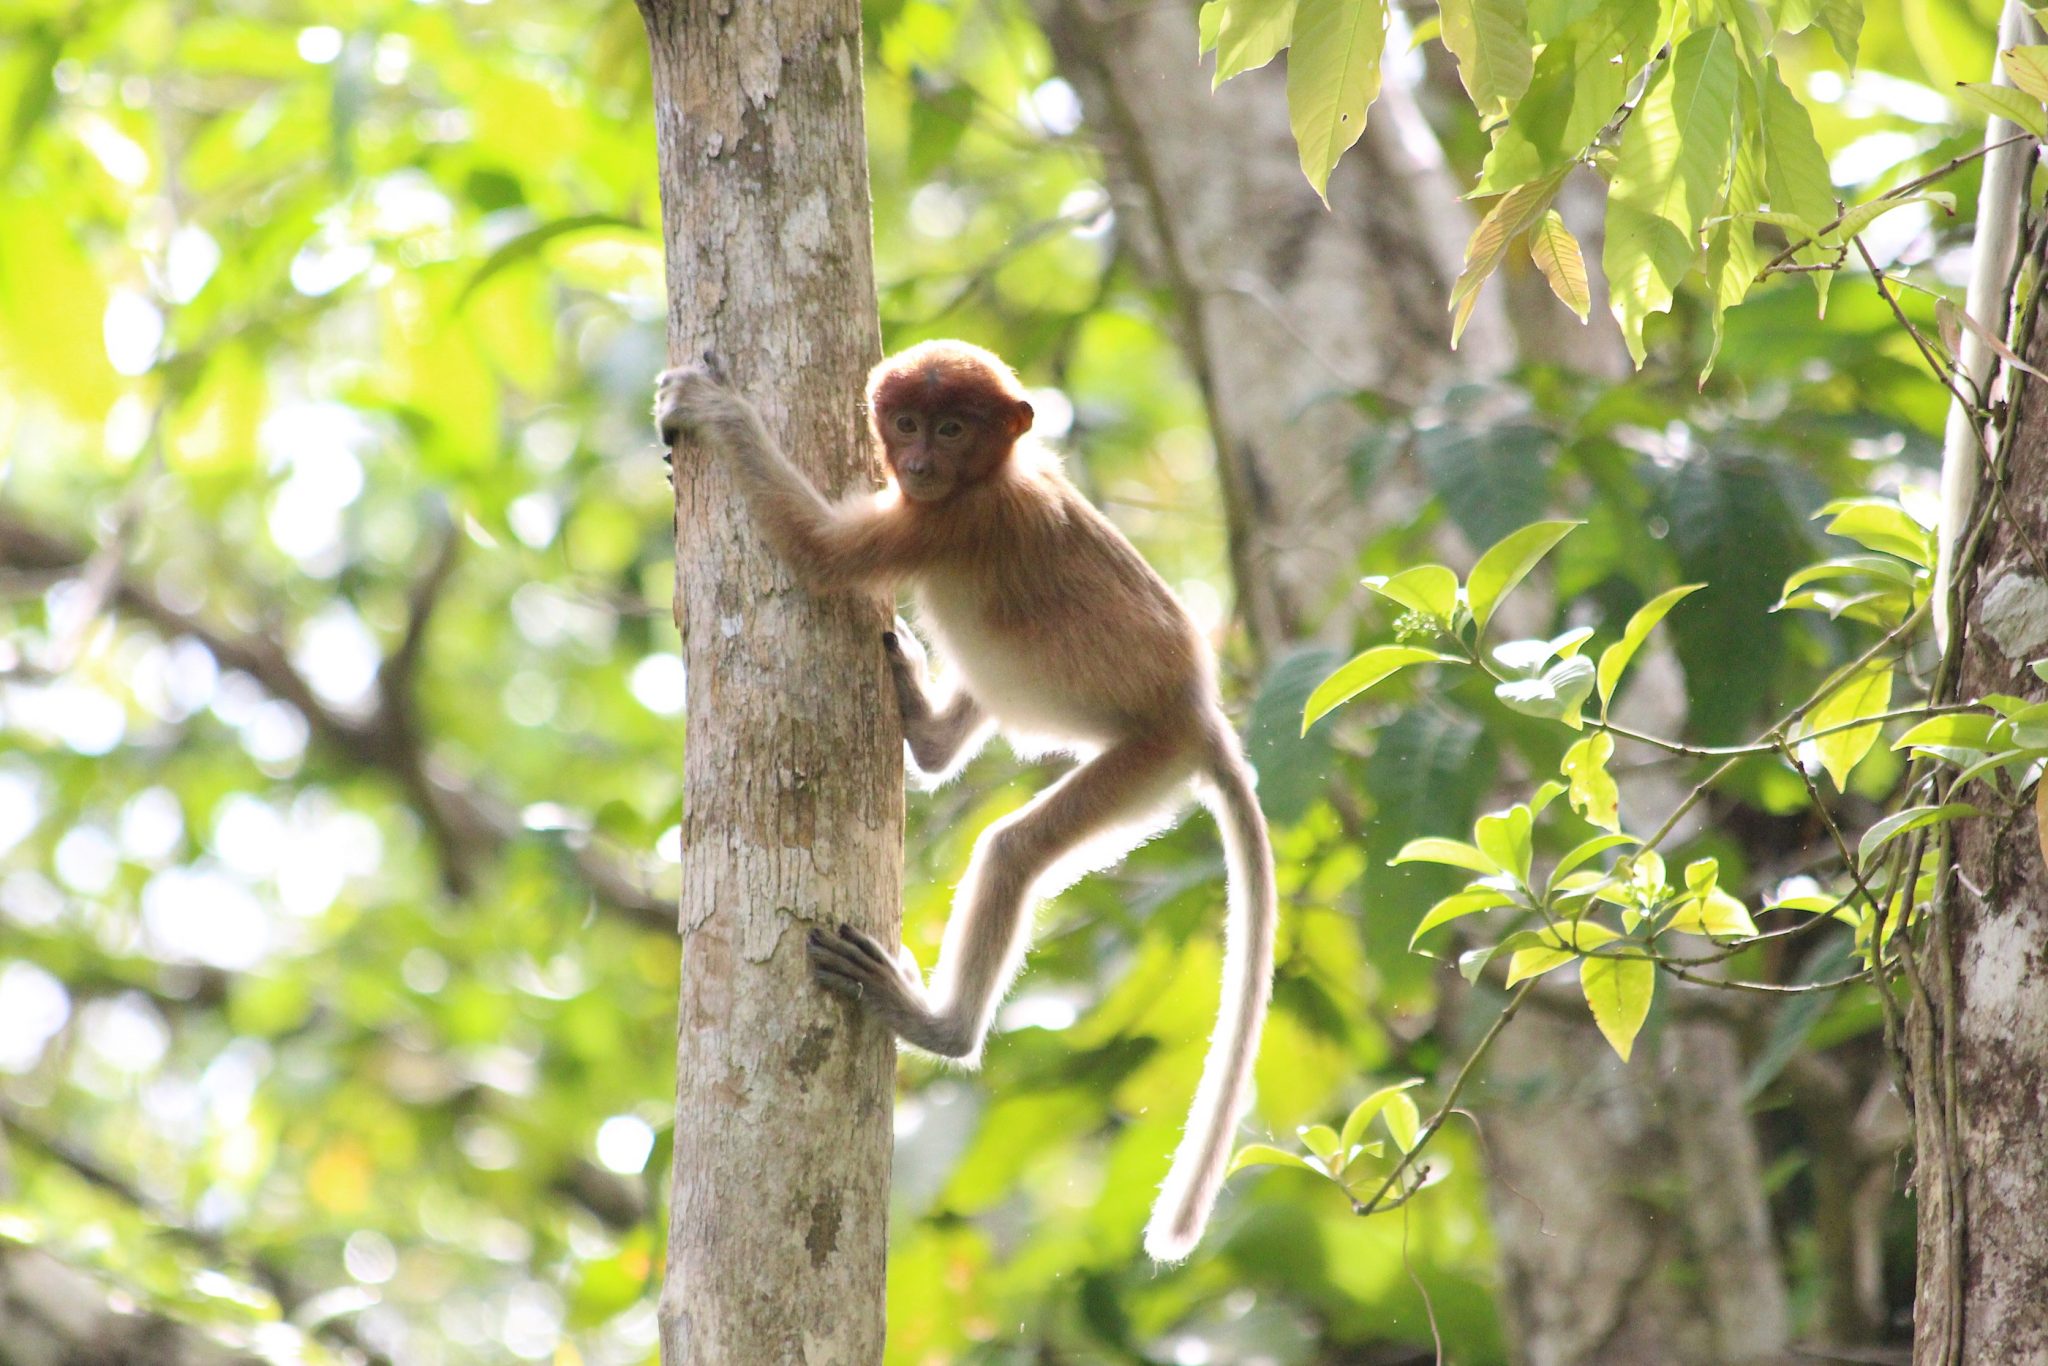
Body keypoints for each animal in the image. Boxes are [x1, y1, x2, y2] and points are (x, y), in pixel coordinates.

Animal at [654, 340, 1276, 1263]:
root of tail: (1200, 715)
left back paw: (936, 1023)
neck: (992, 477)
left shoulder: (946, 521)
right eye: (908, 422)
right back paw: (925, 726)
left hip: (1144, 760)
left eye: (952, 430)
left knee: (1012, 852)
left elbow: (817, 552)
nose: (916, 465)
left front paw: (711, 408)